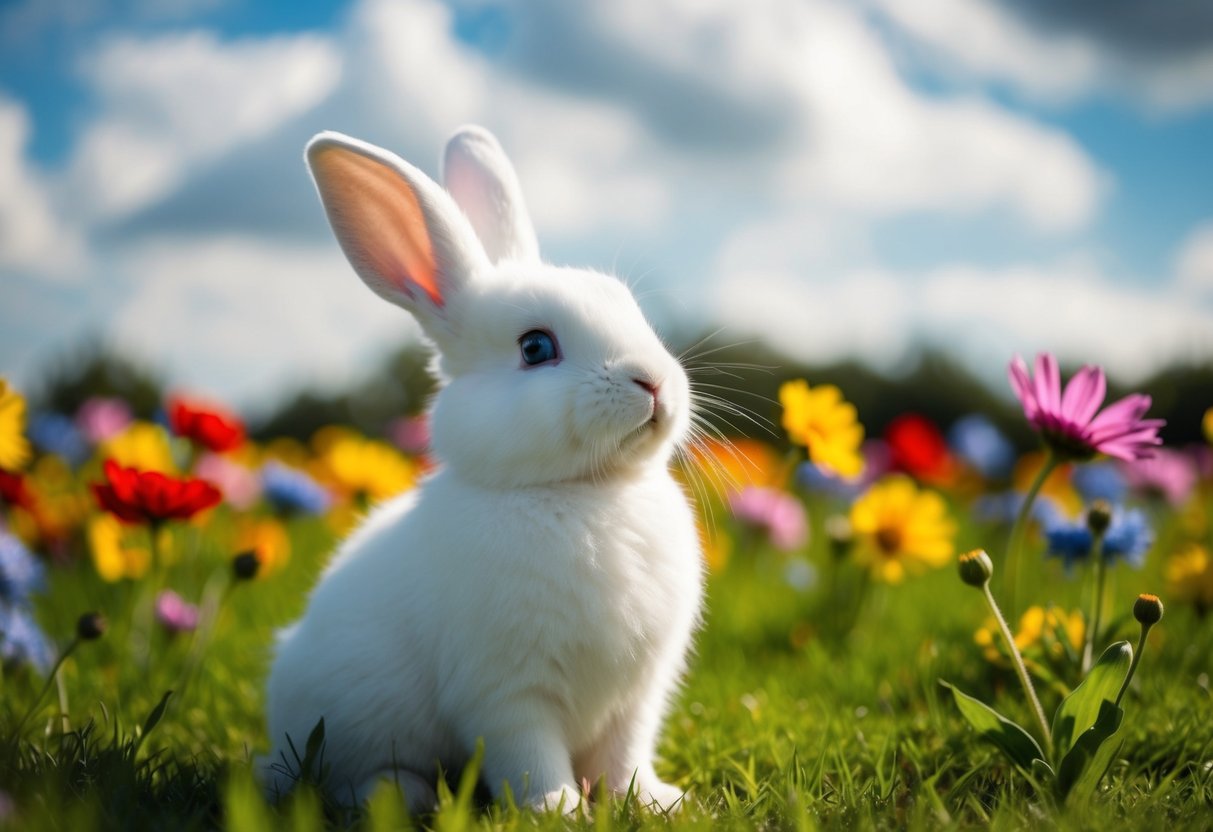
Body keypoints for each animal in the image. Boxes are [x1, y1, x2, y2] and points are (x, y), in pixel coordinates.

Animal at [261, 125, 703, 814]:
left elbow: (624, 758)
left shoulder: (637, 697)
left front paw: (658, 802)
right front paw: (558, 811)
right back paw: (397, 796)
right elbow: (529, 756)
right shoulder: (506, 691)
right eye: (536, 347)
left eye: (631, 309)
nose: (653, 382)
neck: (585, 492)